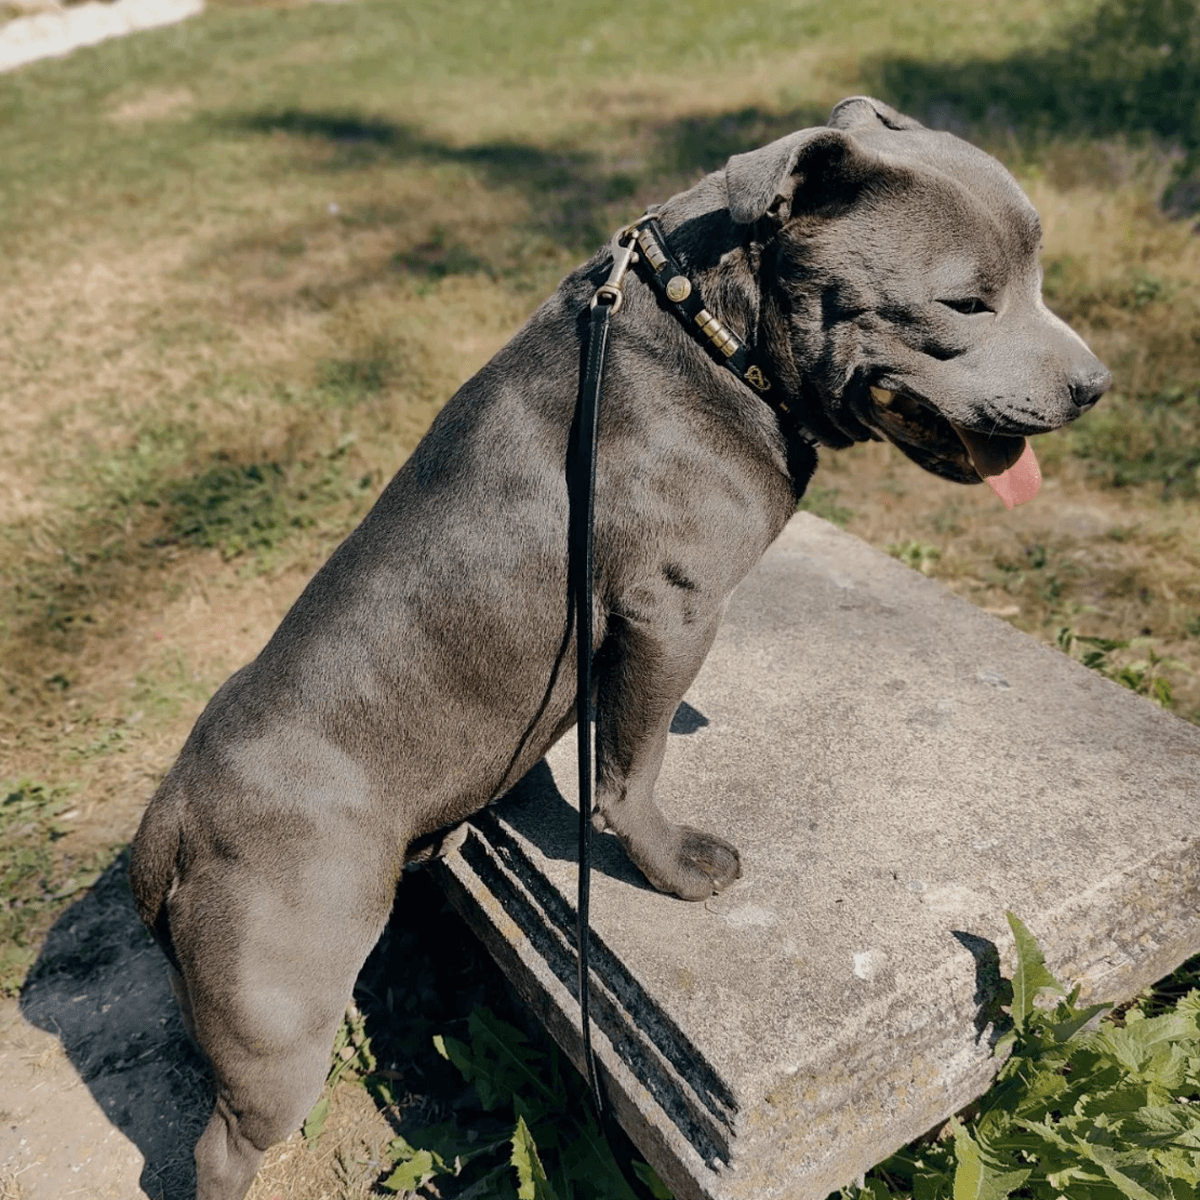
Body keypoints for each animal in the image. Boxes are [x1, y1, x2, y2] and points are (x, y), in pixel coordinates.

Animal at [126, 98, 1108, 1195]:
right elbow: (630, 775)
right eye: (967, 304)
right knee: (223, 1143)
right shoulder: (667, 615)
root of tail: (171, 819)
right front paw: (675, 867)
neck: (712, 332)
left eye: (1038, 274)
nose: (1096, 385)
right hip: (282, 1018)